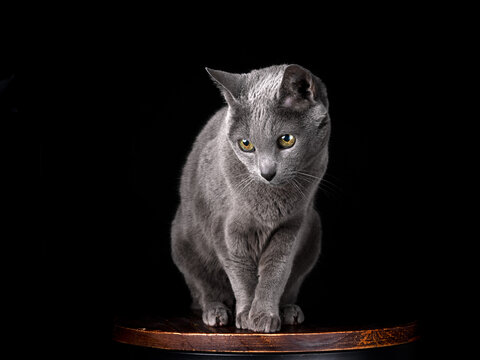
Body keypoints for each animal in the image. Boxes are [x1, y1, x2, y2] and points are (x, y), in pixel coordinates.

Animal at [172, 64, 330, 332]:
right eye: (245, 144)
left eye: (287, 139)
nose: (267, 173)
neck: (270, 200)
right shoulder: (225, 228)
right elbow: (241, 273)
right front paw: (246, 315)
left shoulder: (292, 226)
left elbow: (277, 270)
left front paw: (265, 315)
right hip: (182, 240)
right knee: (203, 289)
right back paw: (216, 311)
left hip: (315, 229)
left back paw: (289, 310)